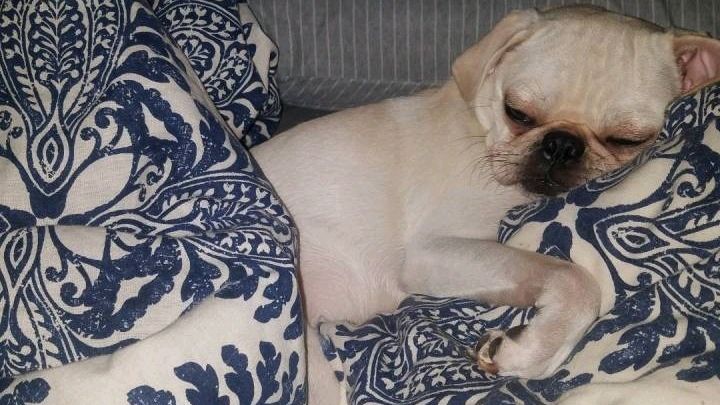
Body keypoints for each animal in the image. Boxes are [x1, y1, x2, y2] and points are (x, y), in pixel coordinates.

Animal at [252, 6, 720, 404]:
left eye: (627, 139)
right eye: (518, 113)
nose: (562, 144)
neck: (483, 130)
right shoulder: (432, 252)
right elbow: (574, 278)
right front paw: (529, 352)